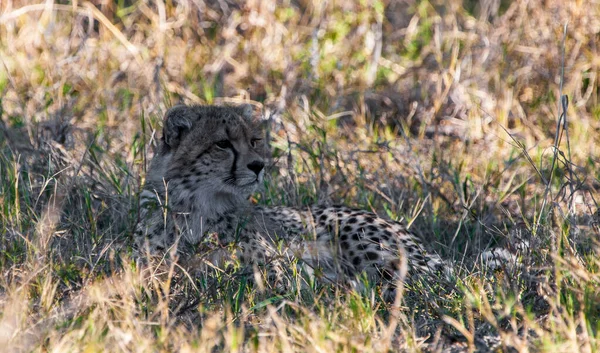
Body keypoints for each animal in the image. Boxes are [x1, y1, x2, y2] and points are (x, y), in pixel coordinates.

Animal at [134, 104, 448, 288]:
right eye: (222, 143)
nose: (258, 166)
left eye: (254, 141)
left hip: (367, 244)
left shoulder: (276, 267)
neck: (197, 205)